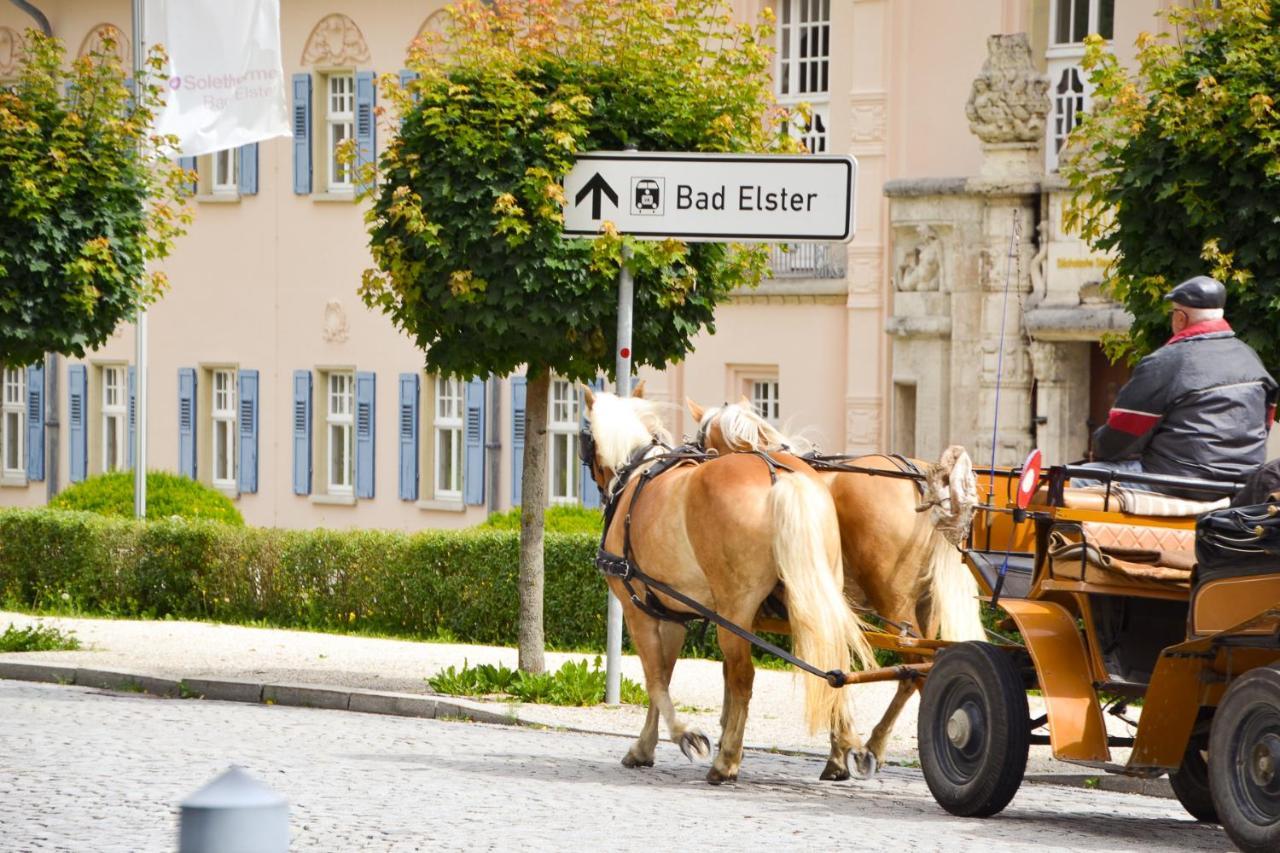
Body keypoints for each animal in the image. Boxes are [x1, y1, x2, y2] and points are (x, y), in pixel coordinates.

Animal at [583, 384, 875, 783]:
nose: (602, 485)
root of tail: (778, 474)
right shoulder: (672, 616)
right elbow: (664, 678)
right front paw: (645, 746)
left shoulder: (638, 610)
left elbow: (655, 680)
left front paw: (687, 735)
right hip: (818, 589)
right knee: (834, 661)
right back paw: (847, 747)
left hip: (735, 613)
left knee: (744, 677)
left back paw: (727, 763)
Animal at [691, 399, 977, 768]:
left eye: (701, 444)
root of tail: (924, 482)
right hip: (925, 608)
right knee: (913, 671)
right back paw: (876, 743)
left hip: (894, 602)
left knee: (920, 674)